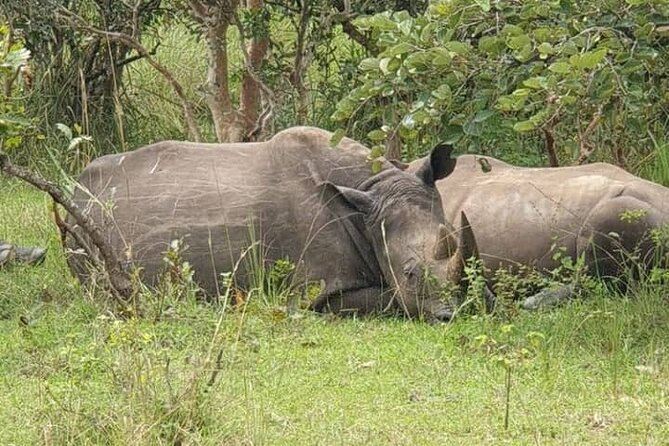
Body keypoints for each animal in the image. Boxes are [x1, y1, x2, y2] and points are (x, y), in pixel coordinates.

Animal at [67, 127, 479, 321]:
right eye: (408, 273)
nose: (449, 316)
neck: (369, 194)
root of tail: (77, 186)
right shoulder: (316, 289)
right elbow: (389, 300)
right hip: (82, 228)